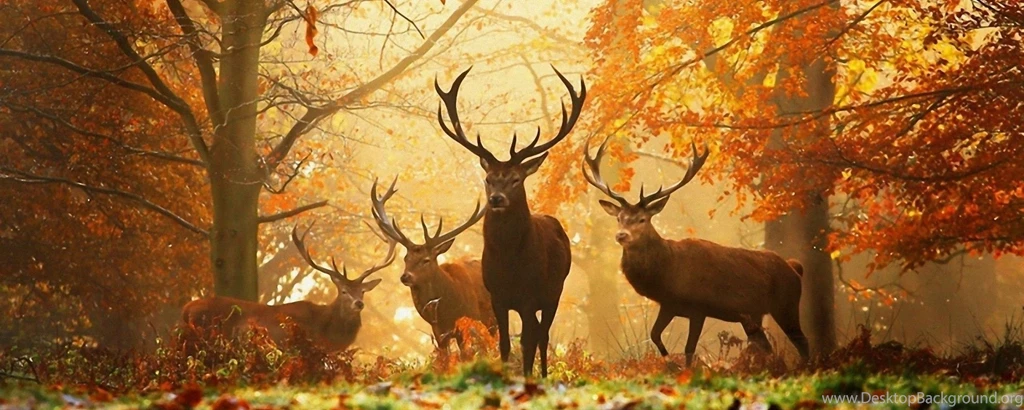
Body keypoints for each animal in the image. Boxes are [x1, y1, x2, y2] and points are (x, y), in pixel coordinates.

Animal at [434, 66, 585, 377]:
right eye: (489, 179)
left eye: (516, 179)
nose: (496, 199)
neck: (509, 264)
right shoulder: (497, 297)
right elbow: (504, 343)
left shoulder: (529, 295)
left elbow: (527, 342)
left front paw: (527, 378)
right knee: (538, 333)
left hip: (555, 291)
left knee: (542, 335)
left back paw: (543, 375)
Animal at [582, 138, 809, 367]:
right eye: (619, 218)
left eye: (642, 219)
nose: (621, 235)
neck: (668, 273)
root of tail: (794, 268)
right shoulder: (669, 304)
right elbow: (654, 334)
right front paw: (669, 363)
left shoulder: (699, 307)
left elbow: (689, 349)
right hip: (753, 315)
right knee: (766, 346)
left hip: (786, 304)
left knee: (803, 342)